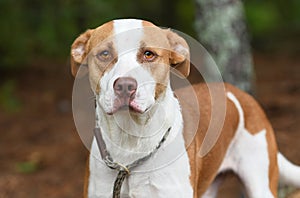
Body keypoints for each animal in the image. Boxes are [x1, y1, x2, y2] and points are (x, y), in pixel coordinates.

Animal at [71, 19, 300, 198]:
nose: (125, 86)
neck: (131, 143)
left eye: (149, 54)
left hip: (260, 183)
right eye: (104, 54)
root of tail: (241, 94)